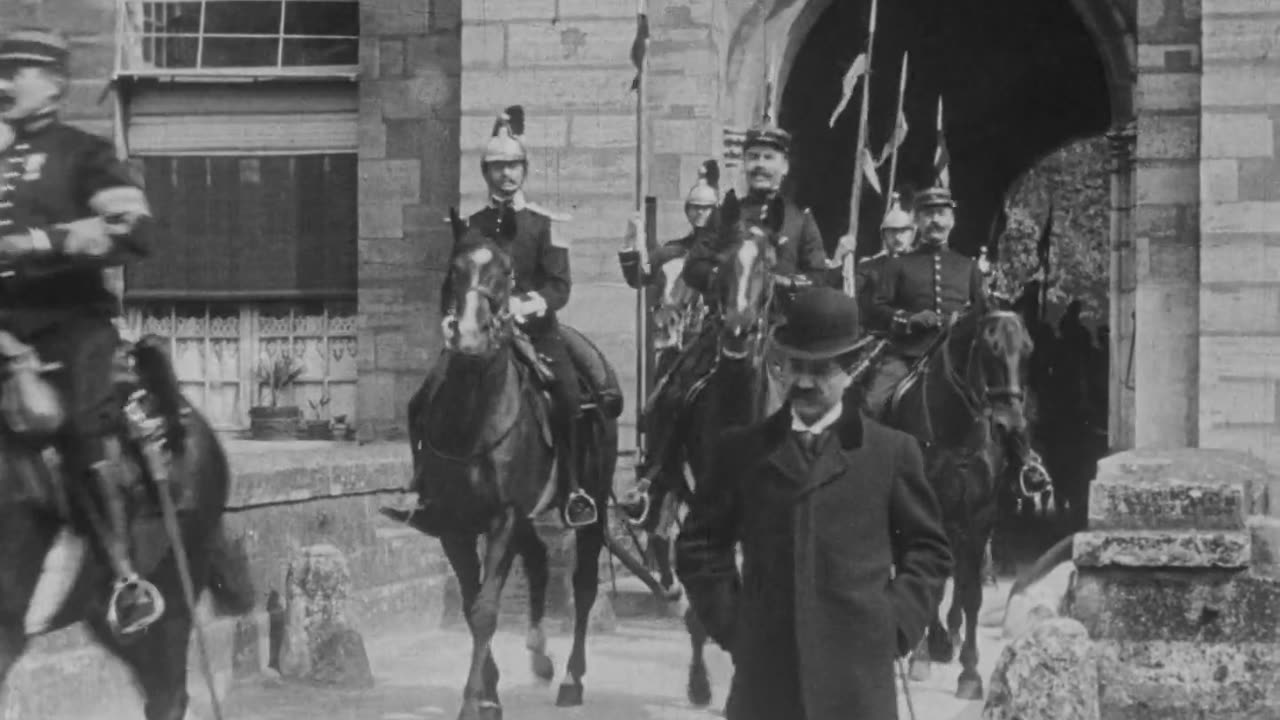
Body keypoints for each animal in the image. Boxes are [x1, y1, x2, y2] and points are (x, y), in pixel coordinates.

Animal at [394, 212, 624, 717]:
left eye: (506, 272)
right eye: (454, 268)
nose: (469, 334)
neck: (472, 418)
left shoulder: (502, 518)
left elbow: (485, 610)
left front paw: (473, 699)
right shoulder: (454, 524)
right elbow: (470, 603)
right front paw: (490, 693)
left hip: (592, 504)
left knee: (583, 585)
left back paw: (572, 679)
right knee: (537, 559)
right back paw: (539, 654)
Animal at [880, 304, 1039, 696]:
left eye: (1028, 349)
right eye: (990, 348)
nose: (1010, 425)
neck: (956, 429)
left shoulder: (979, 517)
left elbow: (971, 593)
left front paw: (969, 670)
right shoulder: (926, 514)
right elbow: (928, 585)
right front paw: (924, 654)